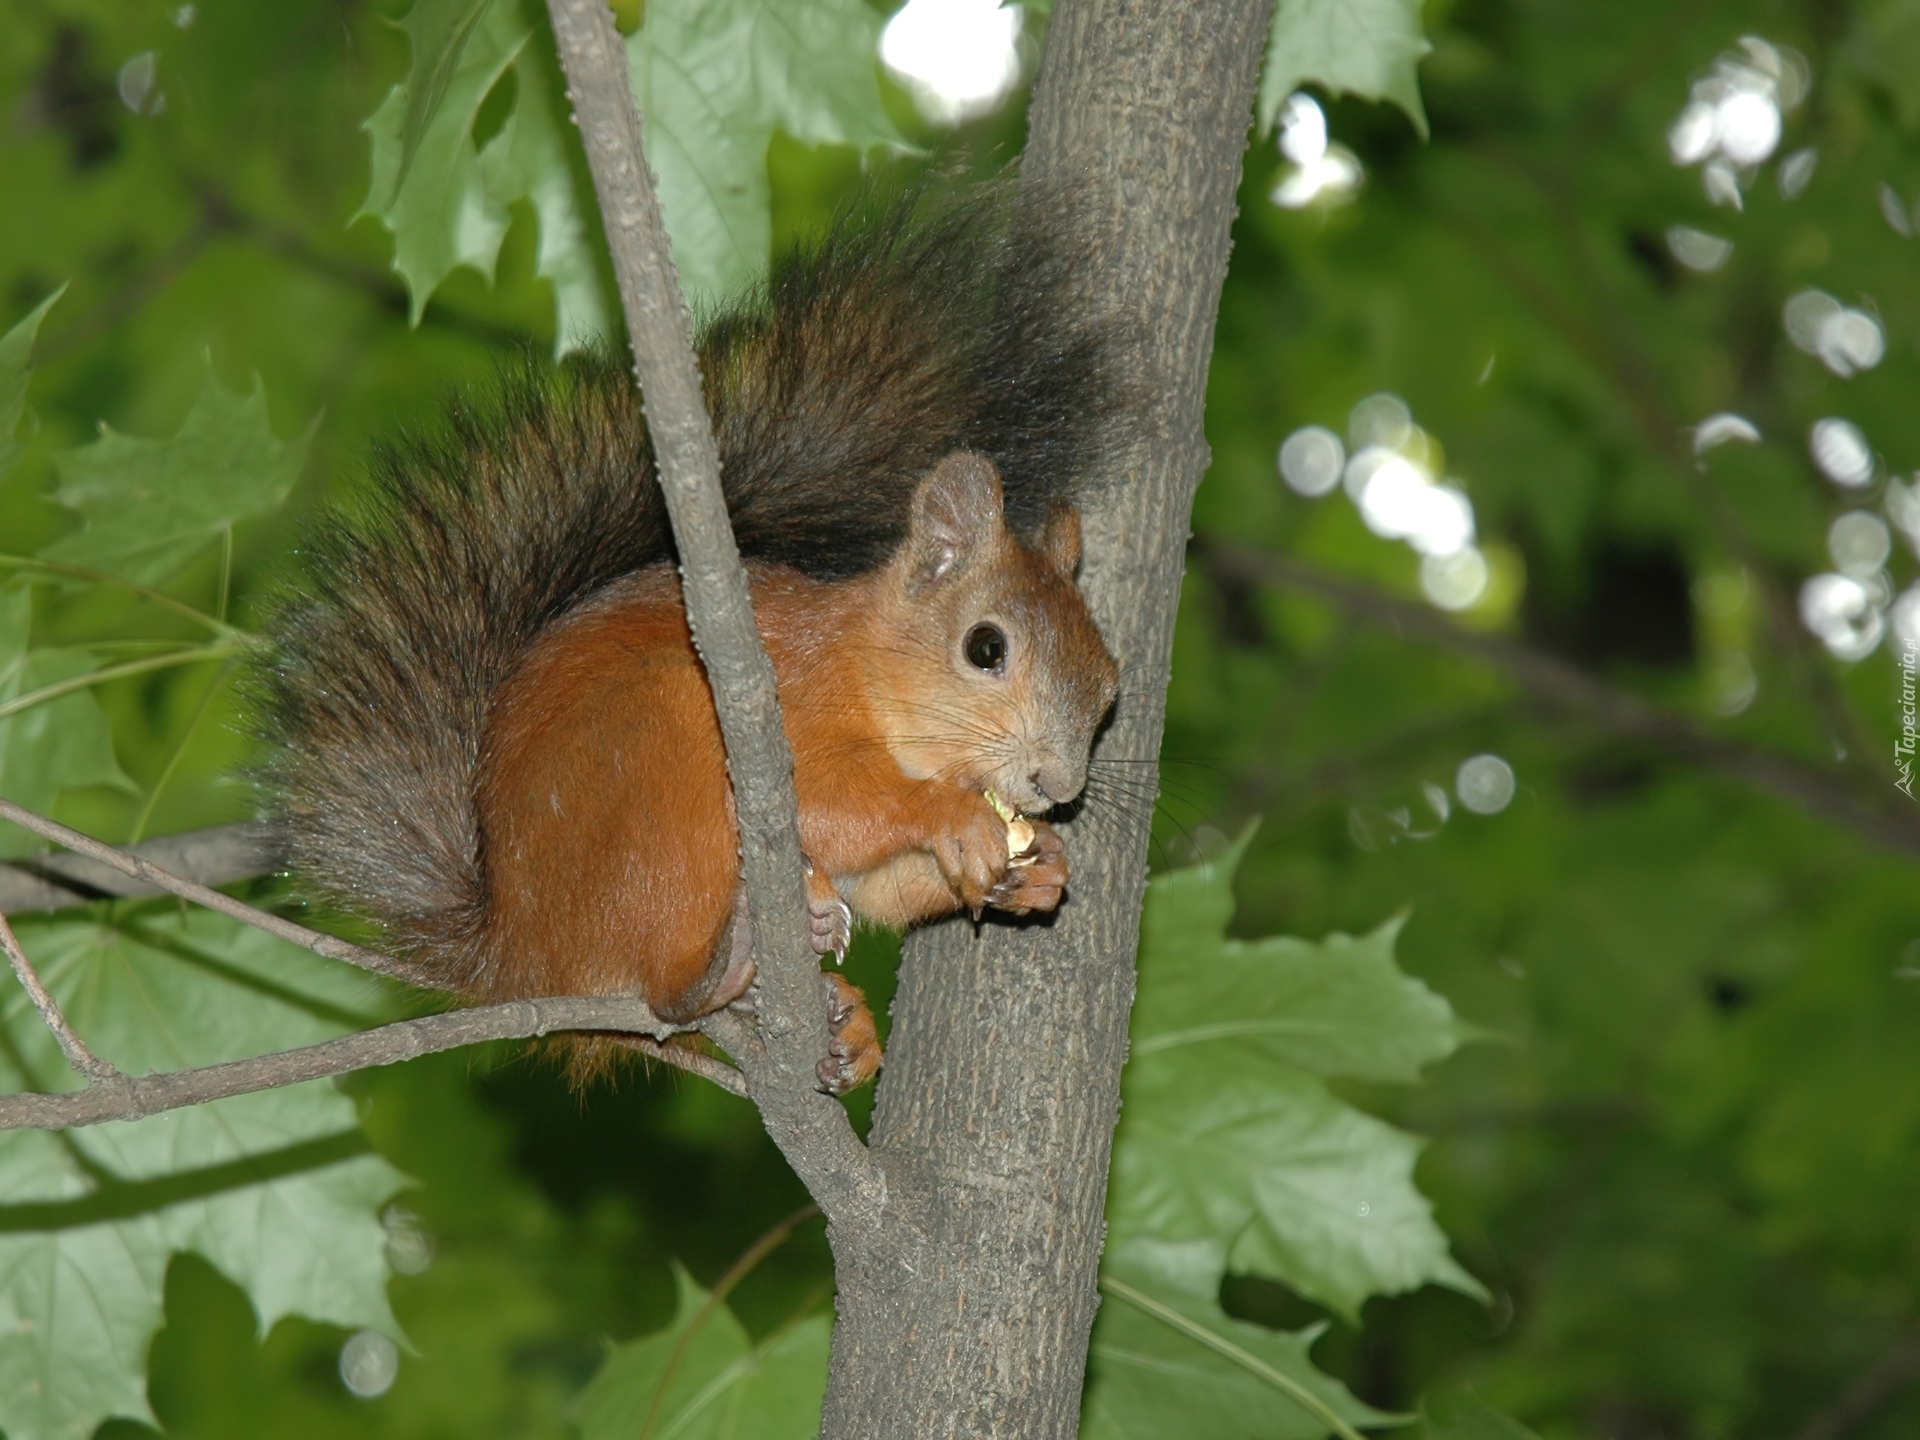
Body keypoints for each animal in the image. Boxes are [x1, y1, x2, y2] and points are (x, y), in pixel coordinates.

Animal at [255, 189, 1121, 1090]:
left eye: (1110, 688)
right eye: (985, 648)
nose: (1057, 784)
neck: (867, 668)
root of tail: (516, 960)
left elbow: (890, 885)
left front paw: (1040, 868)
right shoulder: (792, 701)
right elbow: (833, 802)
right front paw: (952, 817)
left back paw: (838, 1020)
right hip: (662, 744)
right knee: (666, 989)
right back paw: (733, 956)